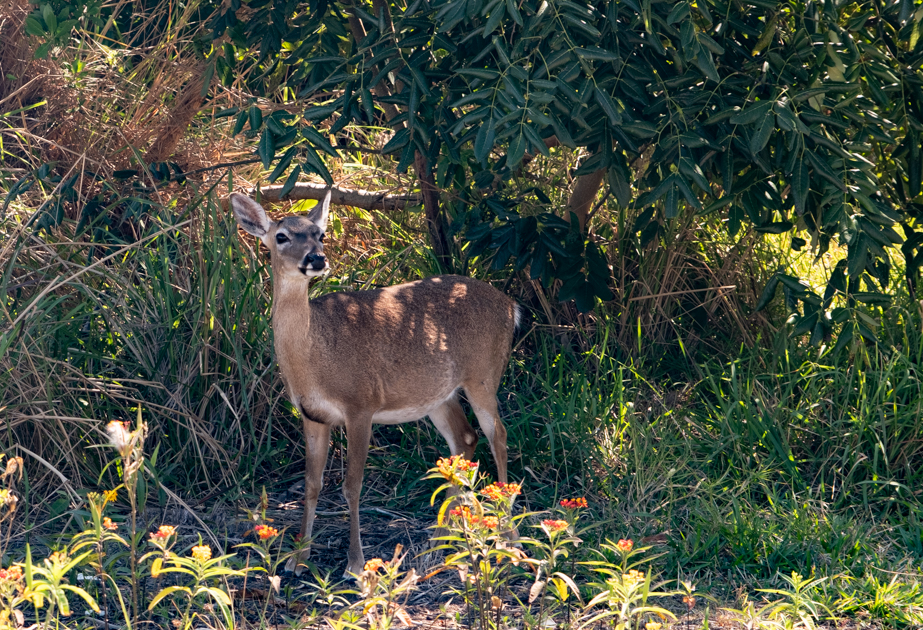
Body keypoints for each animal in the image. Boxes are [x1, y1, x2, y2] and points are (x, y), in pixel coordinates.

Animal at [229, 190, 520, 577]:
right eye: (281, 236)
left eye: (320, 234)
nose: (316, 258)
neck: (314, 357)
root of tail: (511, 306)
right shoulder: (312, 414)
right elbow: (311, 484)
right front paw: (297, 559)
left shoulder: (360, 404)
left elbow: (352, 486)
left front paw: (354, 564)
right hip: (437, 395)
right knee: (465, 438)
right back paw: (438, 539)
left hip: (484, 374)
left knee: (497, 434)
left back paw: (507, 534)